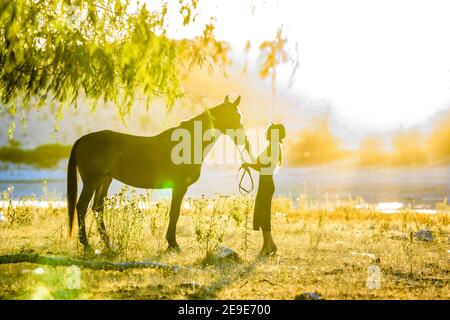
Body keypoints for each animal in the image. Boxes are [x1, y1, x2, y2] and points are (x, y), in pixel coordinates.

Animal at [67, 95, 250, 252]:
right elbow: (174, 213)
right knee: (81, 207)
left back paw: (108, 244)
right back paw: (87, 245)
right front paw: (173, 244)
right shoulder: (179, 187)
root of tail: (82, 140)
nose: (245, 141)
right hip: (91, 182)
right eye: (236, 116)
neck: (186, 145)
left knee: (98, 209)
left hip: (104, 180)